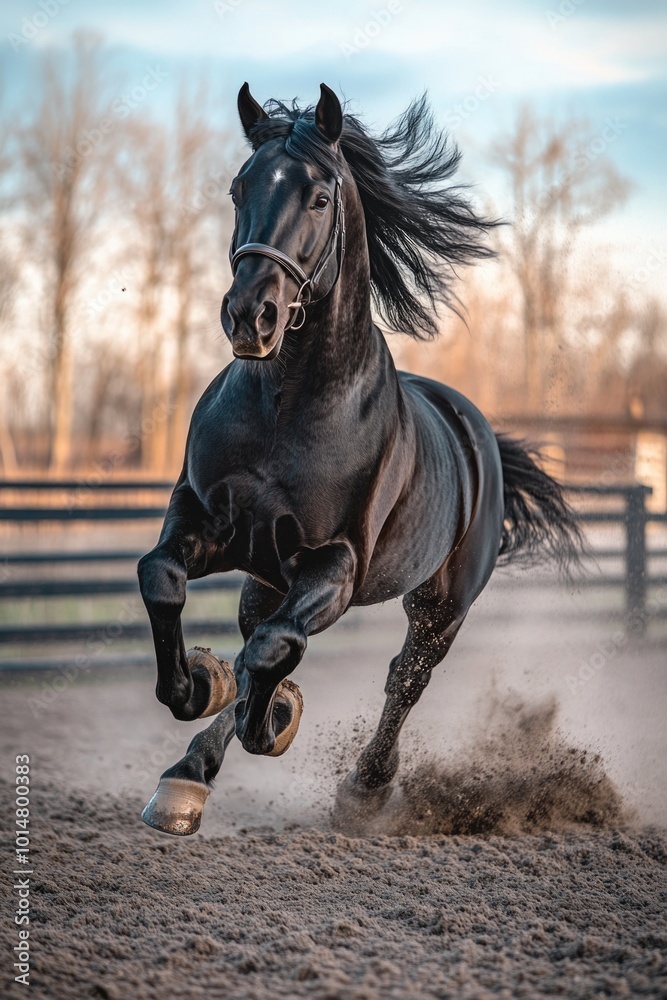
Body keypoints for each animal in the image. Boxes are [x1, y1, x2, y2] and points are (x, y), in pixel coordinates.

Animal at [140, 84, 580, 836]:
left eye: (319, 198)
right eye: (238, 189)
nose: (250, 316)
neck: (287, 407)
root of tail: (477, 434)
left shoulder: (335, 564)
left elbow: (273, 654)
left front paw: (272, 720)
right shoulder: (204, 520)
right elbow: (165, 581)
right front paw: (200, 686)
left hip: (441, 604)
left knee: (403, 674)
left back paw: (364, 789)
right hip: (266, 578)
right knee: (263, 637)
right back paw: (190, 771)